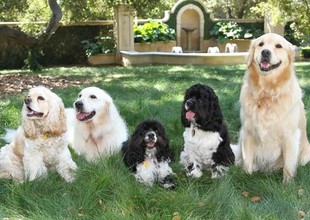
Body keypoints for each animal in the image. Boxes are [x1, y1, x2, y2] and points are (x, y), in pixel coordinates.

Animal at [237, 32, 310, 183]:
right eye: (261, 44)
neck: (267, 92)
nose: (265, 52)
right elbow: (247, 161)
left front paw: (287, 184)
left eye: (278, 46)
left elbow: (288, 164)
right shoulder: (247, 132)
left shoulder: (290, 135)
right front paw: (246, 176)